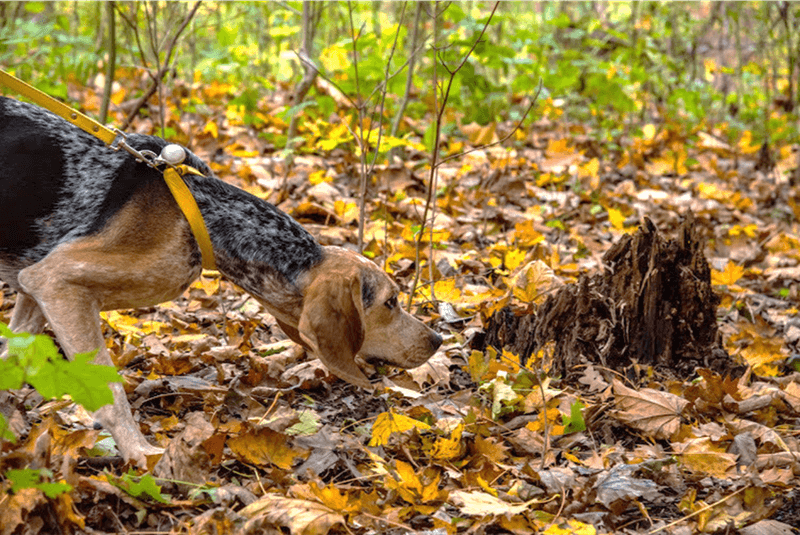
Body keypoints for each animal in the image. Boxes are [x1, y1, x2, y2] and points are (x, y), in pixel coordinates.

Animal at [0, 98, 444, 466]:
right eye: (390, 302)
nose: (438, 340)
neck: (204, 215)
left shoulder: (34, 288)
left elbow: (10, 357)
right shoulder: (56, 281)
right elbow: (112, 394)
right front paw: (141, 453)